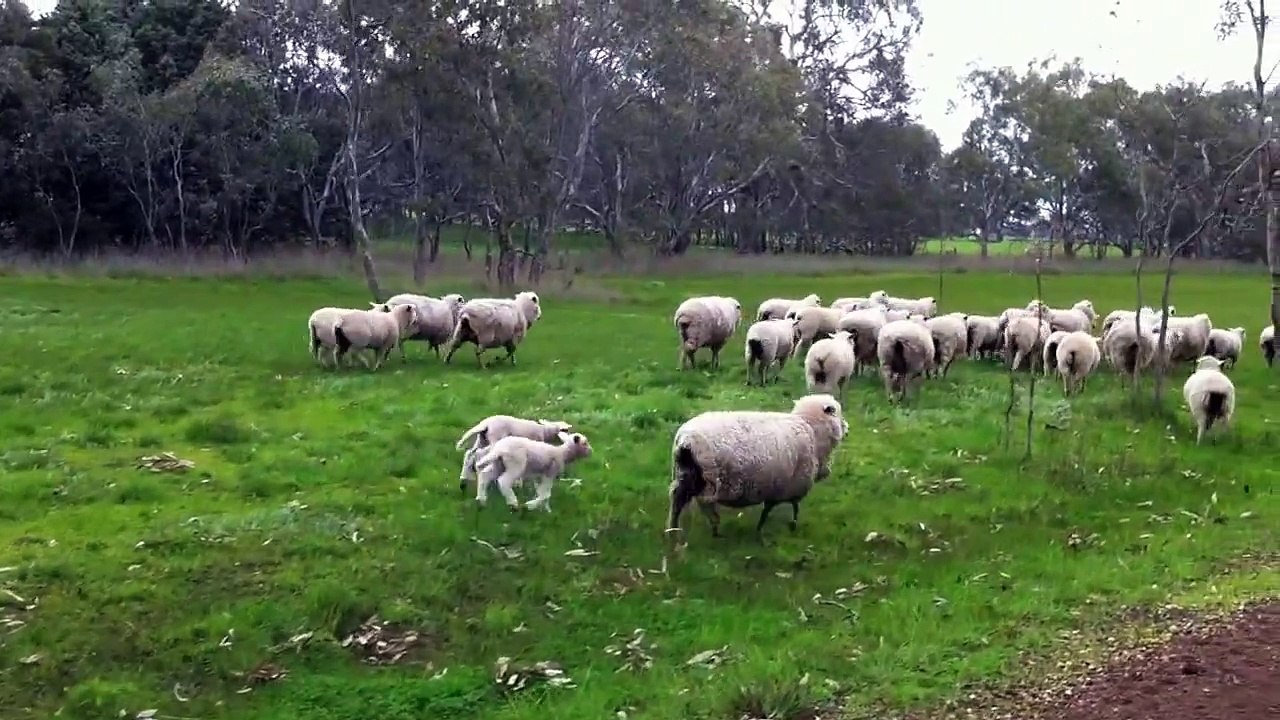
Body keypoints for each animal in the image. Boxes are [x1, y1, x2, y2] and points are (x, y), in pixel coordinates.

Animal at [666, 394, 848, 538]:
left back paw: (673, 530)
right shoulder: (791, 485)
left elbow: (772, 509)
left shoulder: (779, 487)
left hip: (685, 474)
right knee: (705, 503)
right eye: (836, 412)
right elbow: (788, 509)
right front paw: (786, 527)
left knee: (677, 500)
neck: (811, 428)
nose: (847, 428)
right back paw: (715, 528)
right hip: (709, 479)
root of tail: (686, 440)